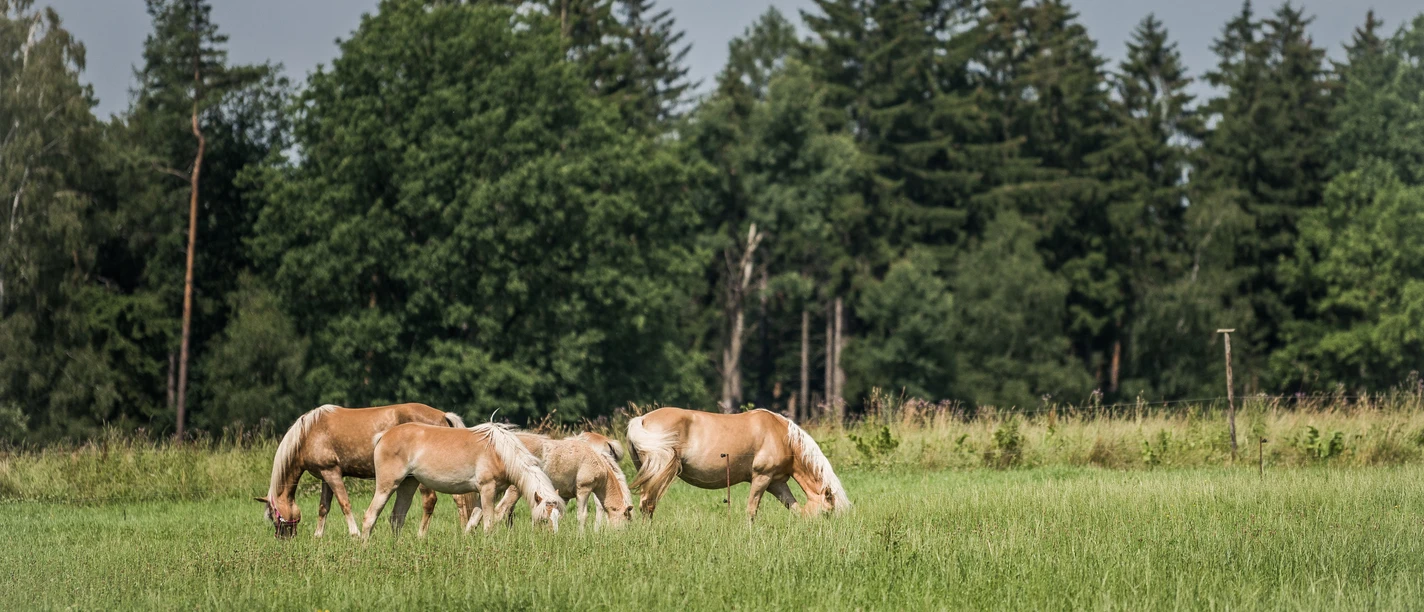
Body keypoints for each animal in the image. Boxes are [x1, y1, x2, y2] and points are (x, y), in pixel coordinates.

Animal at [255, 403, 466, 539]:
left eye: (273, 516)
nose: (283, 539)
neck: (308, 433)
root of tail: (442, 415)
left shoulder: (332, 472)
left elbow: (344, 503)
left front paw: (354, 534)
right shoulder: (325, 476)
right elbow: (323, 507)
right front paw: (318, 536)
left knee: (430, 501)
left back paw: (421, 536)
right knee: (460, 500)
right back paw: (464, 533)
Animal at [360, 422, 565, 537]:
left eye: (558, 518)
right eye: (543, 519)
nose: (551, 540)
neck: (500, 452)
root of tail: (383, 436)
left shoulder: (488, 493)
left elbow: (472, 522)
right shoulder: (487, 490)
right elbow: (488, 524)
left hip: (407, 485)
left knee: (396, 519)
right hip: (387, 486)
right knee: (370, 516)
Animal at [461, 431, 633, 530]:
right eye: (625, 525)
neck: (597, 461)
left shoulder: (561, 496)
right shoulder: (584, 490)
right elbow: (583, 515)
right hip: (513, 490)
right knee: (500, 511)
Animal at [626, 407, 850, 520]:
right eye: (827, 513)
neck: (781, 435)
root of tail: (642, 419)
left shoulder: (776, 483)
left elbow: (793, 507)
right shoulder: (762, 478)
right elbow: (751, 510)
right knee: (647, 504)